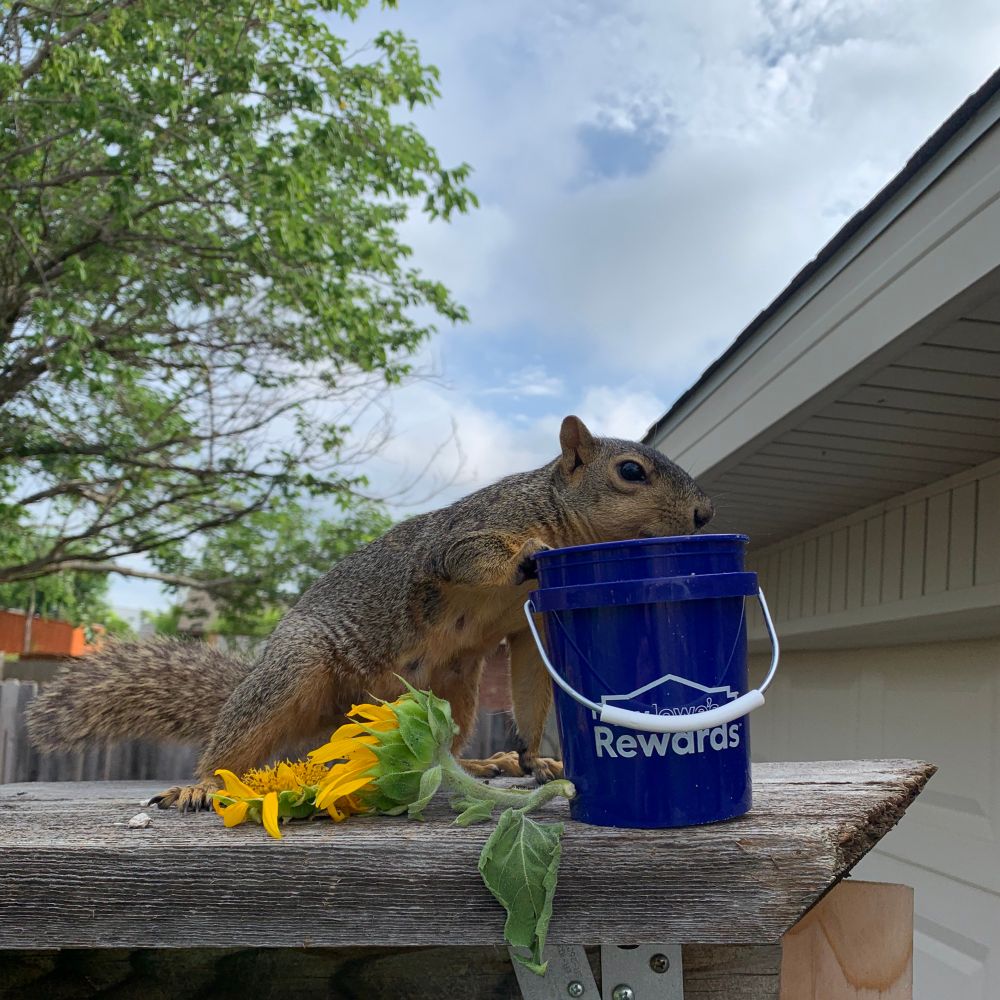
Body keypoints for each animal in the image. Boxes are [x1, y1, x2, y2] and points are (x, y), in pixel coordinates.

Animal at [27, 416, 713, 811]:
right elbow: (466, 556)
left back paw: (478, 761)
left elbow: (531, 688)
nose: (704, 514)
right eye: (631, 471)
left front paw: (535, 756)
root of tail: (341, 711)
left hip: (455, 689)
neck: (555, 513)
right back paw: (202, 783)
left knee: (445, 746)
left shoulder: (529, 628)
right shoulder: (469, 534)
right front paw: (528, 555)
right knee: (237, 738)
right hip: (296, 670)